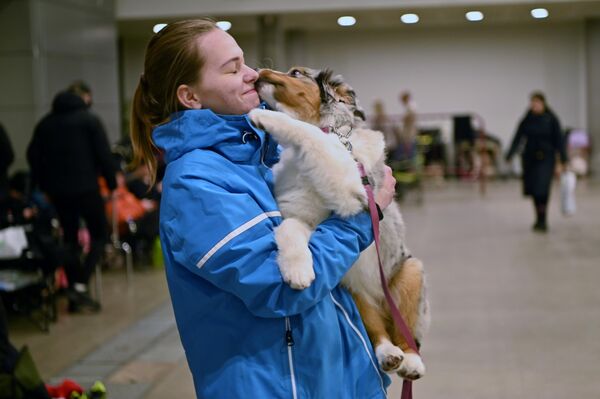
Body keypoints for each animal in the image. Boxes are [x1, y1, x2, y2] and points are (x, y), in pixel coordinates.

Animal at [248, 66, 432, 382]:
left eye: (296, 72)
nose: (259, 70)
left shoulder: (351, 187)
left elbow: (312, 135)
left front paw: (264, 117)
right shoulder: (301, 215)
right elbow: (289, 231)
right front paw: (297, 272)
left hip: (410, 272)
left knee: (405, 332)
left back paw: (410, 360)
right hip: (352, 288)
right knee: (378, 330)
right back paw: (387, 354)